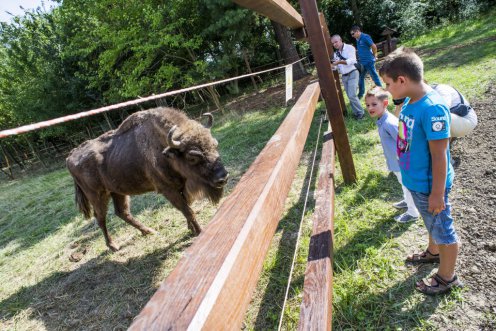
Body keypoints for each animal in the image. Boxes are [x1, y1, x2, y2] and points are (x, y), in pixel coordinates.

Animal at [66, 108, 229, 252]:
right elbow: (188, 211)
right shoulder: (168, 190)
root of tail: (70, 156)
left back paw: (148, 231)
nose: (223, 177)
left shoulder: (181, 187)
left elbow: (187, 207)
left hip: (117, 192)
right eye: (192, 157)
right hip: (98, 196)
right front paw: (199, 232)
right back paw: (113, 246)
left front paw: (191, 229)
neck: (164, 148)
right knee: (100, 218)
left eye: (215, 145)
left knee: (122, 212)